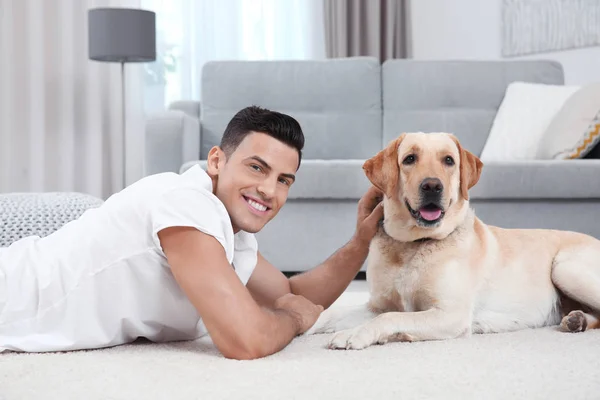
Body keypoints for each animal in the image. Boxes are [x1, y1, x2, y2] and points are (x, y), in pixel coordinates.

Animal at [308, 132, 596, 350]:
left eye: (449, 160)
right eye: (409, 159)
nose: (432, 186)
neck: (413, 245)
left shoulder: (450, 314)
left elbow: (391, 317)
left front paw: (356, 333)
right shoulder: (377, 305)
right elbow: (328, 313)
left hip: (565, 268)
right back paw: (576, 320)